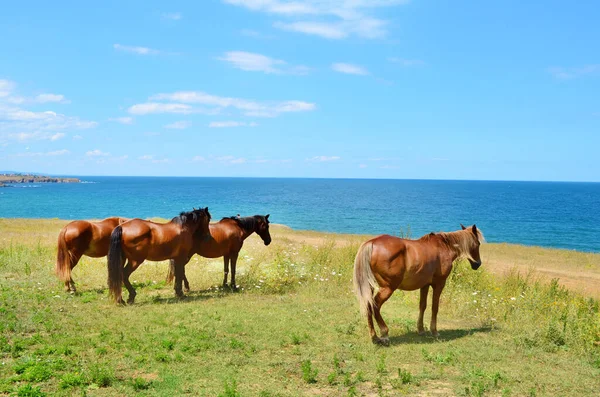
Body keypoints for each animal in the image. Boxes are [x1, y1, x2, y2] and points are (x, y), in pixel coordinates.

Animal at [354, 223, 486, 344]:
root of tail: (372, 243)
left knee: (369, 305)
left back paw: (374, 336)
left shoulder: (424, 285)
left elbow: (422, 305)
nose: (477, 264)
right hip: (388, 288)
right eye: (478, 244)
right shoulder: (439, 284)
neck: (443, 247)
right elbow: (434, 307)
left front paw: (421, 329)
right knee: (375, 305)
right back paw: (384, 333)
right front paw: (434, 331)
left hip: (370, 286)